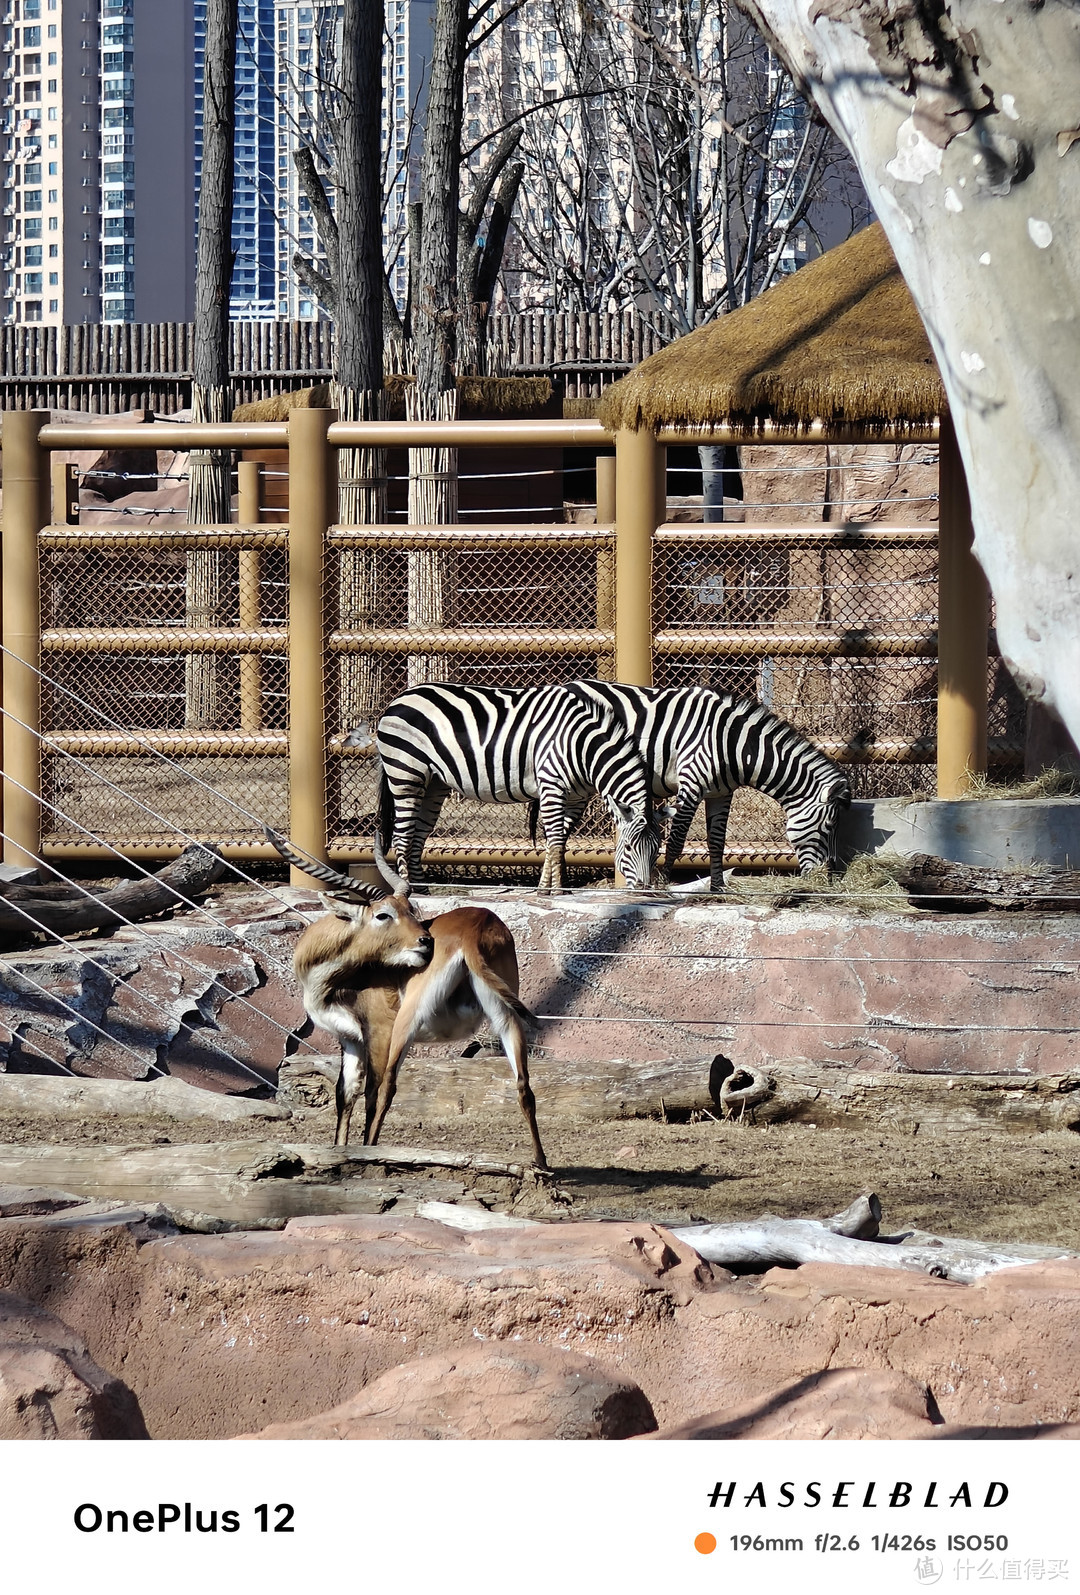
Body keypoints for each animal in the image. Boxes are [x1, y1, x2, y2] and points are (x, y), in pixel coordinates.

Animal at [269, 835, 548, 1173]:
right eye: (384, 914)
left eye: (410, 909)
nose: (425, 941)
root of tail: (475, 928)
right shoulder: (349, 1038)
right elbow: (344, 1094)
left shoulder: (378, 1032)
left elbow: (370, 1092)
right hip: (506, 1016)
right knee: (524, 1085)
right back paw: (541, 1163)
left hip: (407, 1023)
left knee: (387, 1087)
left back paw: (374, 1154)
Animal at [349, 679, 660, 893]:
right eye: (628, 848)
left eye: (657, 851)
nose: (646, 891)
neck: (582, 747)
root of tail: (400, 697)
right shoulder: (552, 785)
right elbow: (555, 840)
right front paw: (557, 891)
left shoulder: (576, 798)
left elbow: (558, 841)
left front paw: (546, 889)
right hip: (406, 773)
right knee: (403, 835)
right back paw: (409, 892)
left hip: (434, 782)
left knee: (419, 835)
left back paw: (424, 889)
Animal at [567, 679, 848, 893]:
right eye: (829, 827)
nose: (830, 879)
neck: (733, 743)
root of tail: (571, 683)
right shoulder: (691, 783)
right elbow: (677, 839)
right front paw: (664, 883)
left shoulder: (721, 793)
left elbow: (716, 841)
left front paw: (718, 888)